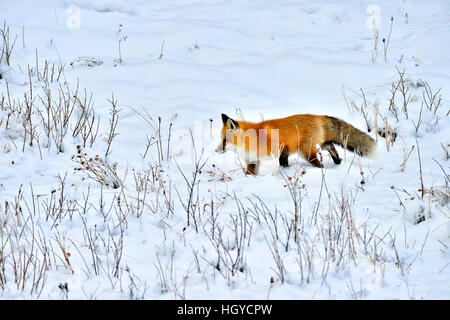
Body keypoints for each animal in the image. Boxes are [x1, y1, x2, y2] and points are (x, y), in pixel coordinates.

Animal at [217, 114, 376, 175]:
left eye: (225, 140)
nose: (216, 150)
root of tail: (317, 116)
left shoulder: (281, 149)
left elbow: (281, 164)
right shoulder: (252, 160)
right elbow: (250, 173)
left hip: (307, 152)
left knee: (319, 162)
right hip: (317, 144)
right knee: (330, 145)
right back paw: (337, 160)